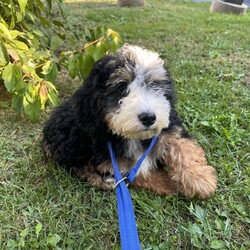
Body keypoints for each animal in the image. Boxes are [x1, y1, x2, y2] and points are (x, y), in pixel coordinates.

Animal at [42, 44, 216, 198]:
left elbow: (183, 146)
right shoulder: (116, 163)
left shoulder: (170, 129)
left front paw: (200, 179)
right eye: (121, 87)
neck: (135, 137)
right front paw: (169, 183)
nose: (149, 118)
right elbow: (139, 173)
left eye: (154, 85)